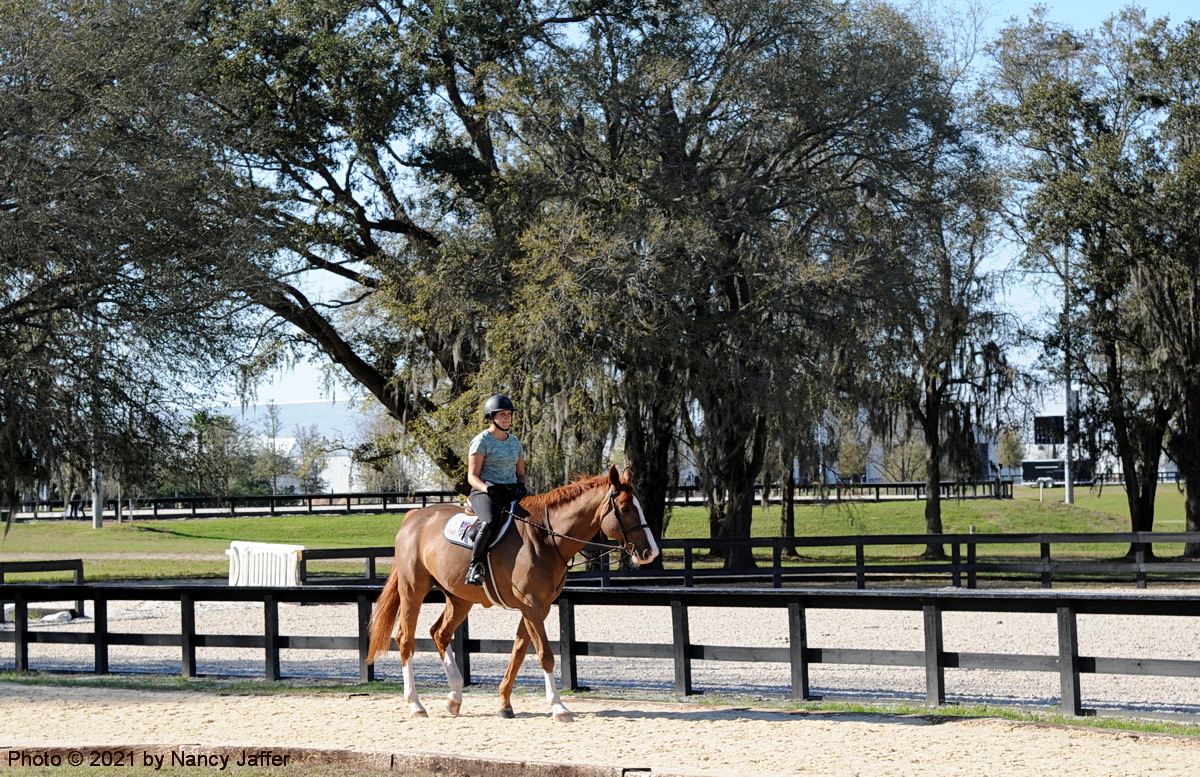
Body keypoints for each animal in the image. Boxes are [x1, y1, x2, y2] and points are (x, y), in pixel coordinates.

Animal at [369, 460, 662, 724]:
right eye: (625, 508)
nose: (650, 552)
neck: (545, 538)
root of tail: (413, 517)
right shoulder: (532, 606)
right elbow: (545, 655)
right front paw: (558, 707)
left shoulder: (537, 607)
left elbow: (519, 653)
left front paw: (505, 705)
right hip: (413, 590)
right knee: (406, 639)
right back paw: (416, 705)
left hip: (459, 599)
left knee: (439, 634)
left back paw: (454, 697)